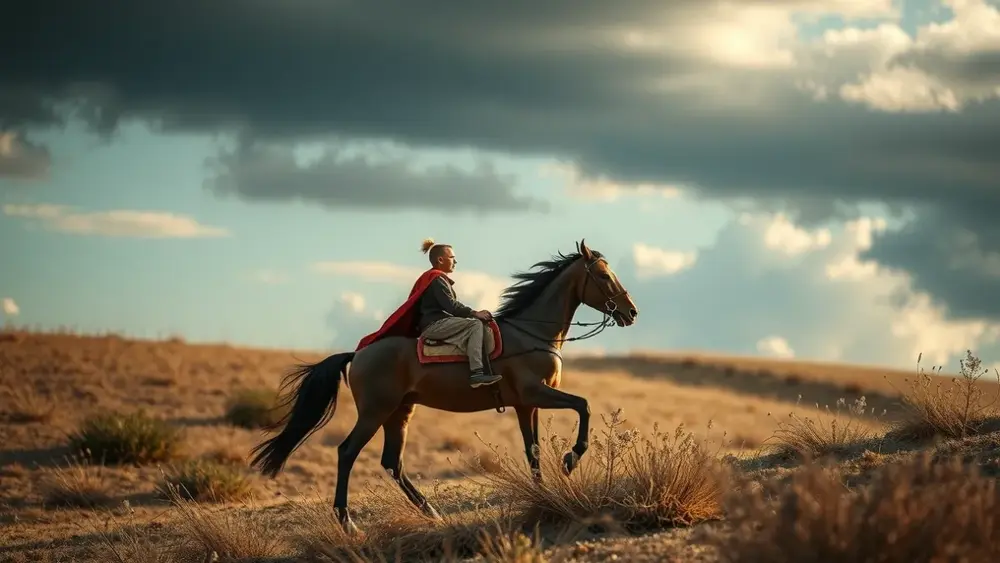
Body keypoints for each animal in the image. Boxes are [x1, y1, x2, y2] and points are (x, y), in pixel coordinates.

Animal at [248, 239, 639, 534]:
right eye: (603, 275)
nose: (631, 312)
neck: (532, 333)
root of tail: (357, 354)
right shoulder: (534, 394)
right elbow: (583, 405)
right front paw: (571, 459)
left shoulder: (526, 405)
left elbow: (534, 452)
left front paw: (544, 494)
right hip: (376, 412)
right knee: (347, 453)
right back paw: (348, 523)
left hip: (400, 412)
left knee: (392, 462)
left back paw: (429, 511)